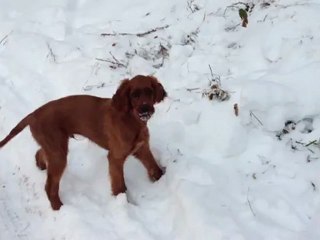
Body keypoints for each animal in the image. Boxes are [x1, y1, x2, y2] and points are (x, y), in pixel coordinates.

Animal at [0, 75, 166, 210]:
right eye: (134, 95)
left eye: (149, 92)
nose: (145, 110)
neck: (132, 120)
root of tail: (33, 114)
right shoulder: (115, 158)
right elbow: (119, 186)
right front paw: (124, 203)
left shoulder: (142, 149)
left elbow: (154, 168)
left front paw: (162, 179)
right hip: (59, 153)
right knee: (49, 187)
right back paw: (59, 208)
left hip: (55, 146)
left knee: (40, 152)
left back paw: (41, 166)